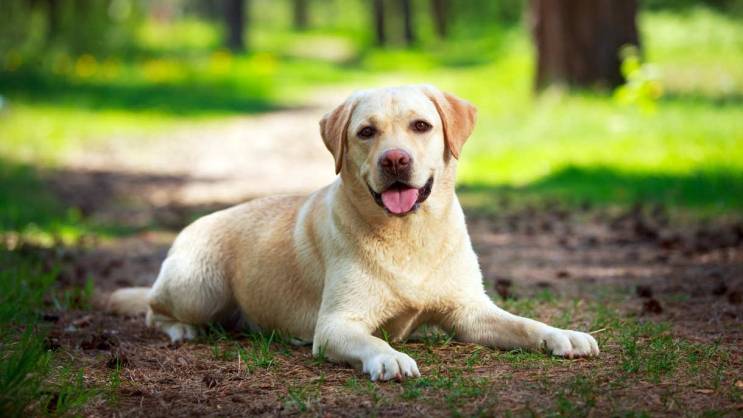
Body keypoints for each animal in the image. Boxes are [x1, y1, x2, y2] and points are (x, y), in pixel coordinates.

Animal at [109, 85, 600, 382]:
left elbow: (524, 323)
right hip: (199, 287)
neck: (409, 235)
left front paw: (563, 334)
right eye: (366, 132)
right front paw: (389, 356)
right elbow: (372, 338)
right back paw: (180, 329)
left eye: (421, 126)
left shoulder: (471, 312)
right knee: (154, 310)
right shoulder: (336, 324)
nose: (395, 159)